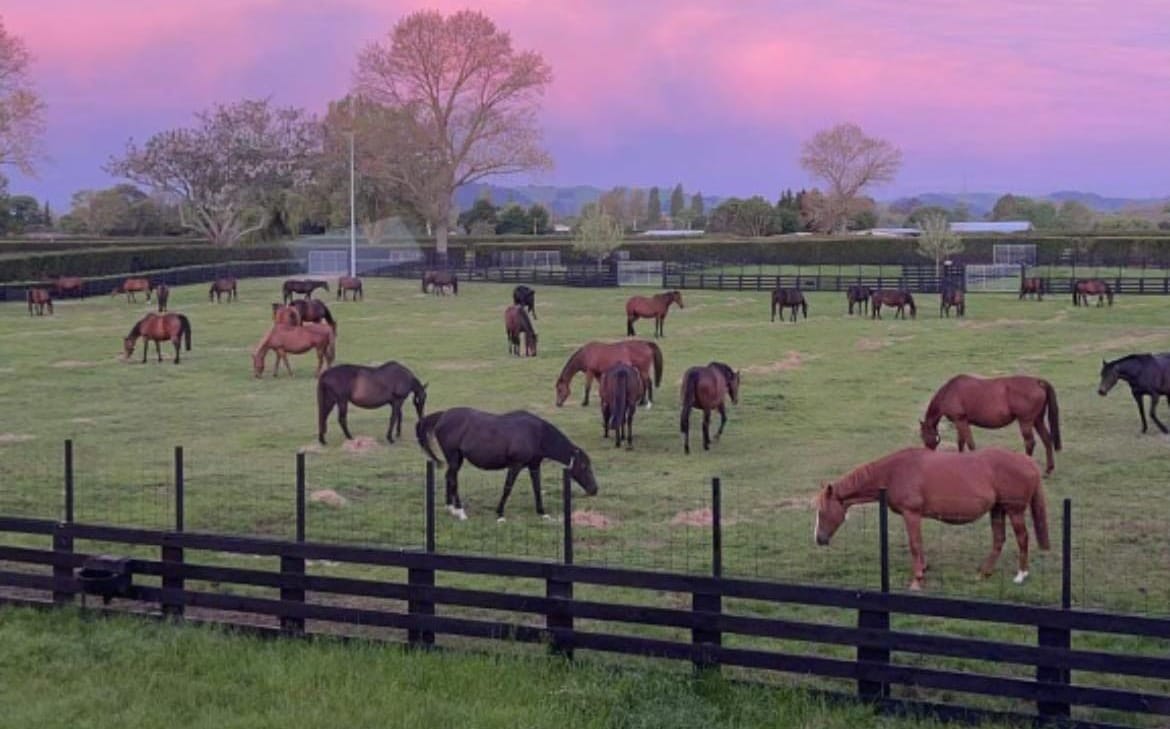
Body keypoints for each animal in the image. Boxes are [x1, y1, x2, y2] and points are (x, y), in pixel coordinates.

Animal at [416, 407, 598, 521]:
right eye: (584, 467)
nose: (594, 489)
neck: (536, 434)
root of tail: (443, 415)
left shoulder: (534, 466)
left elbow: (537, 488)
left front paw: (542, 513)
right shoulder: (515, 466)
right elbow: (507, 488)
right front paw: (500, 514)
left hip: (456, 459)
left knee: (450, 477)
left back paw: (450, 508)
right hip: (454, 458)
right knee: (453, 479)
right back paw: (460, 512)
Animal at [815, 447, 1049, 590]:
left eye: (821, 511)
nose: (819, 539)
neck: (894, 472)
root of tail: (1027, 461)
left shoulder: (911, 514)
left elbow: (915, 544)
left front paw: (917, 580)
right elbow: (919, 544)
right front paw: (923, 569)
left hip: (1014, 511)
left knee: (1023, 538)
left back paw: (1021, 575)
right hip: (998, 510)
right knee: (999, 540)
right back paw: (985, 573)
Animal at [919, 374, 1062, 475]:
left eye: (922, 436)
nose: (928, 454)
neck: (950, 391)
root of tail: (1038, 382)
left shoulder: (960, 421)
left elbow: (970, 444)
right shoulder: (960, 422)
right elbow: (961, 442)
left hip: (1025, 421)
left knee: (1030, 443)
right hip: (1037, 420)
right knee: (1047, 440)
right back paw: (1049, 470)